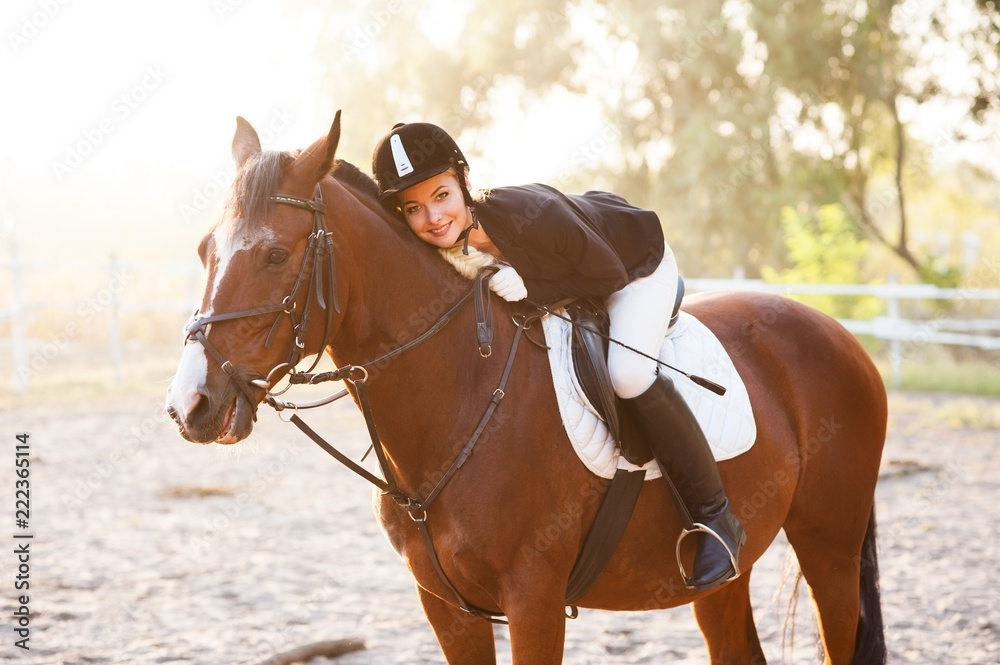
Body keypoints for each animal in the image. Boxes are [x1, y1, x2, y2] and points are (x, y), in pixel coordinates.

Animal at [165, 111, 888, 664]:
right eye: (203, 250)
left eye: (275, 255)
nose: (189, 406)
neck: (461, 394)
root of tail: (837, 332)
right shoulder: (448, 607)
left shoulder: (533, 599)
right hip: (726, 581)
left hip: (829, 544)